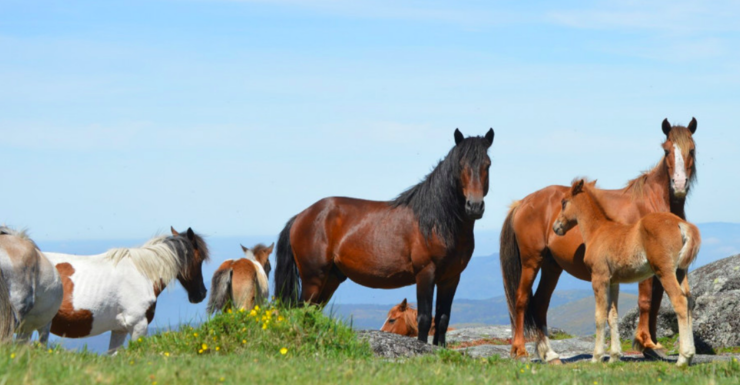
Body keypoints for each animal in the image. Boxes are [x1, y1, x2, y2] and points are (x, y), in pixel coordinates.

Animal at [274, 127, 494, 344]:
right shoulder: (425, 273)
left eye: (488, 165)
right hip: (313, 279)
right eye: (461, 165)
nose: (474, 206)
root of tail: (301, 216)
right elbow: (424, 318)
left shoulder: (451, 278)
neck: (436, 222)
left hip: (331, 279)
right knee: (303, 312)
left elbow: (442, 320)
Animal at [552, 178, 704, 364]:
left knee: (680, 301)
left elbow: (599, 316)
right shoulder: (613, 281)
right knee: (689, 302)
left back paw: (683, 358)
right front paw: (614, 357)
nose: (556, 227)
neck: (597, 232)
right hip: (681, 272)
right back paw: (689, 357)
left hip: (665, 271)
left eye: (564, 202)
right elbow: (612, 316)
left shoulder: (599, 278)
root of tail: (680, 223)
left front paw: (596, 357)